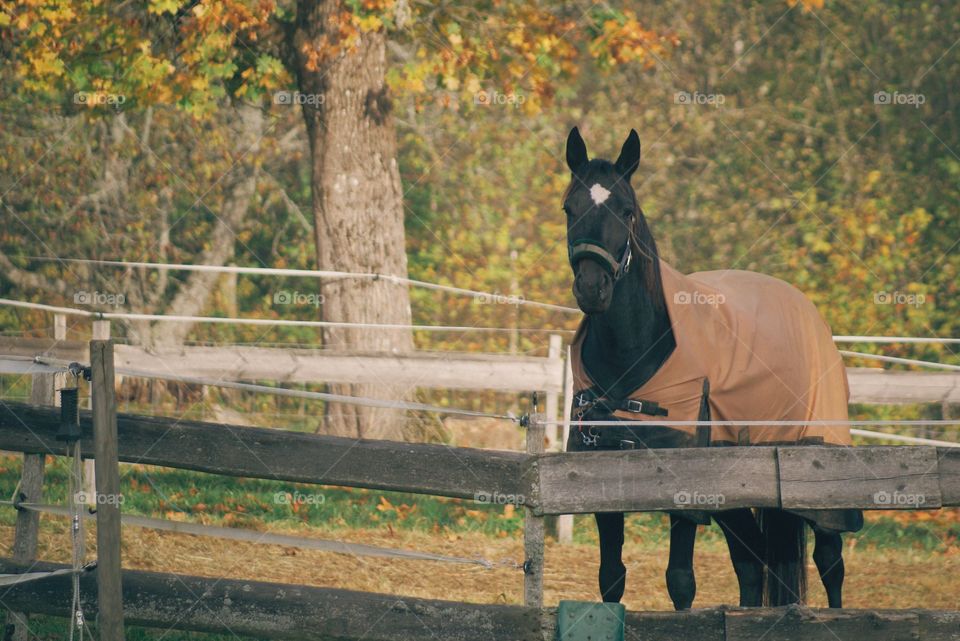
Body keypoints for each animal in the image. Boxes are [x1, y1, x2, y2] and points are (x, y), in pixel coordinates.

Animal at [564, 126, 864, 608]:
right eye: (569, 208)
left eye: (626, 211)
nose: (593, 288)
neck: (634, 352)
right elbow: (611, 577)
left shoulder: (685, 491)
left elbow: (680, 580)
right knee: (752, 565)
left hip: (819, 478)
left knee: (830, 563)